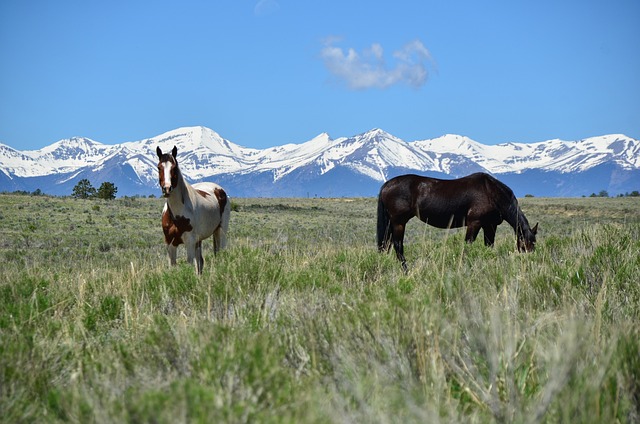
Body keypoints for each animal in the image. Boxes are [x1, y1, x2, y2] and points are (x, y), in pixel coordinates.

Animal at [378, 173, 536, 270]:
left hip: (391, 224)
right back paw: (406, 271)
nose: (529, 264)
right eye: (524, 245)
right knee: (398, 246)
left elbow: (489, 246)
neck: (491, 192)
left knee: (386, 245)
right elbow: (467, 245)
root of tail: (387, 184)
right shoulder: (474, 223)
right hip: (399, 223)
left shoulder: (490, 225)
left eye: (534, 245)